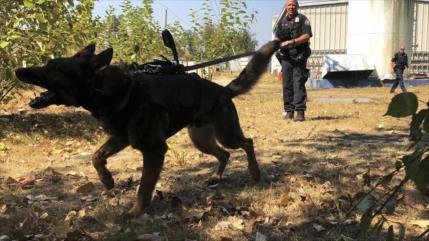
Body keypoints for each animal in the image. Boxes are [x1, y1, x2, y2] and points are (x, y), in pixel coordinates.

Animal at [15, 40, 280, 217]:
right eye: (48, 64)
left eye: (55, 69)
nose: (18, 70)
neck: (104, 91)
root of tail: (223, 89)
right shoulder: (120, 138)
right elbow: (96, 156)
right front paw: (107, 180)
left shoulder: (154, 150)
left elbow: (144, 188)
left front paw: (135, 212)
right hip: (201, 140)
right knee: (224, 154)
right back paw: (216, 177)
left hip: (227, 134)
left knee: (247, 143)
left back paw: (255, 172)